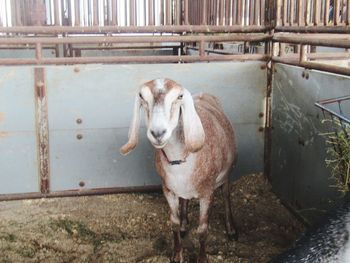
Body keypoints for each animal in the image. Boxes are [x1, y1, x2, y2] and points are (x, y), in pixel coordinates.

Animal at [120, 78, 238, 263]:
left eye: (179, 96)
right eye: (141, 96)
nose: (158, 133)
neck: (179, 163)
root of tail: (205, 93)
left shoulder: (207, 192)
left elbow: (203, 230)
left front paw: (202, 258)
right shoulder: (168, 189)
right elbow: (173, 223)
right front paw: (177, 254)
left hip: (226, 174)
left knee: (226, 195)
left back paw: (231, 229)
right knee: (185, 200)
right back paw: (184, 225)